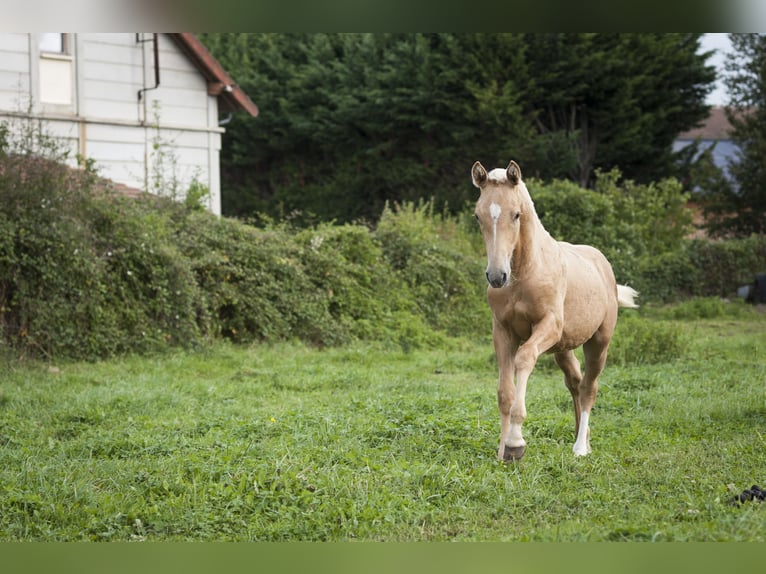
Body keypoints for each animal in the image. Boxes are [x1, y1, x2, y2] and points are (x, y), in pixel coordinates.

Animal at [472, 162, 640, 464]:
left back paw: (580, 448)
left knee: (588, 388)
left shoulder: (547, 326)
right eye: (478, 216)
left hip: (599, 342)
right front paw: (503, 450)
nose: (497, 276)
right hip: (563, 347)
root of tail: (602, 263)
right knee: (575, 383)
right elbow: (504, 392)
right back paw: (583, 438)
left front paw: (516, 443)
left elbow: (525, 359)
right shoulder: (502, 332)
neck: (525, 272)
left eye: (516, 214)